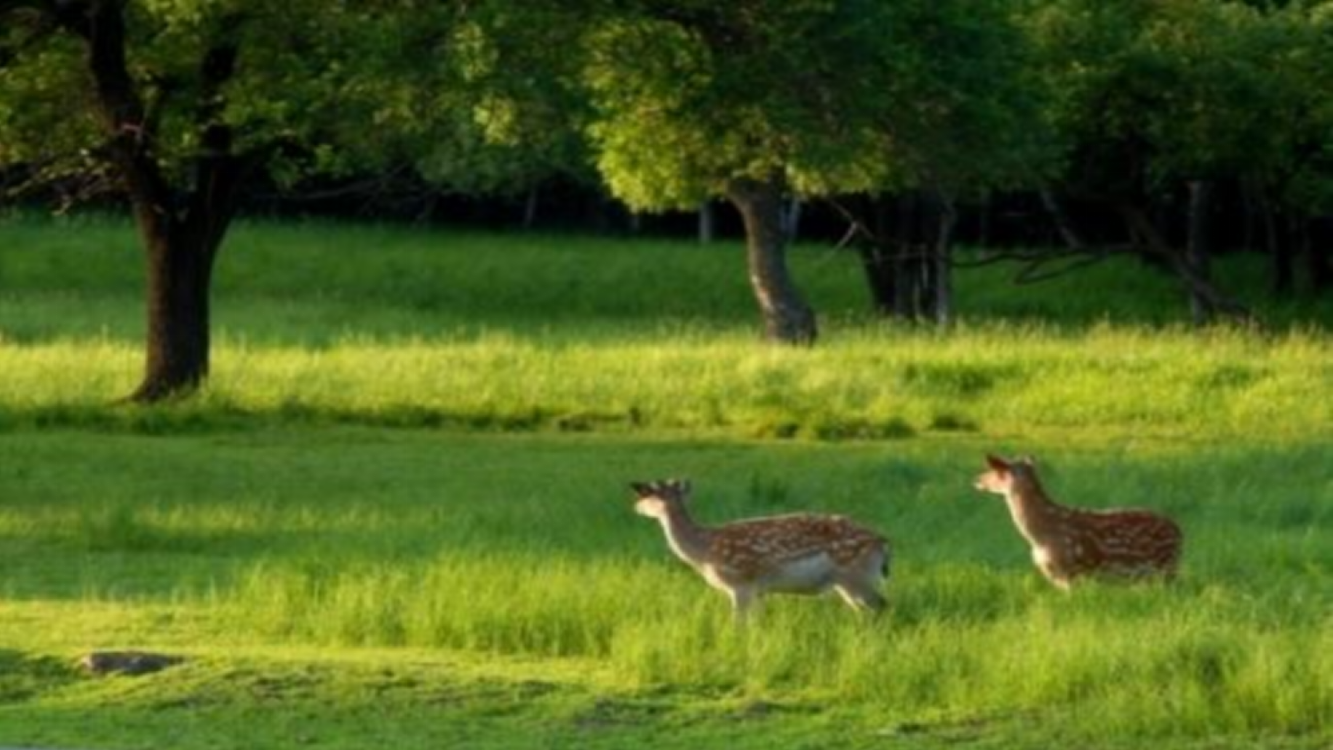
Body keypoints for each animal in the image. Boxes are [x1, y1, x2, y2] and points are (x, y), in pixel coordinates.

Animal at [629, 482, 890, 623]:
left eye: (646, 491)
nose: (635, 507)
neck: (704, 554)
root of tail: (883, 543)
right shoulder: (759, 589)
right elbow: (756, 622)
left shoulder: (741, 582)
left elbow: (738, 623)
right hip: (845, 582)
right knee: (865, 610)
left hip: (855, 573)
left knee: (880, 605)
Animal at [975, 455, 1183, 588]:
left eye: (994, 471)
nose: (977, 479)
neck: (1038, 536)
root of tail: (1180, 533)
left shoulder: (1072, 570)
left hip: (1165, 568)